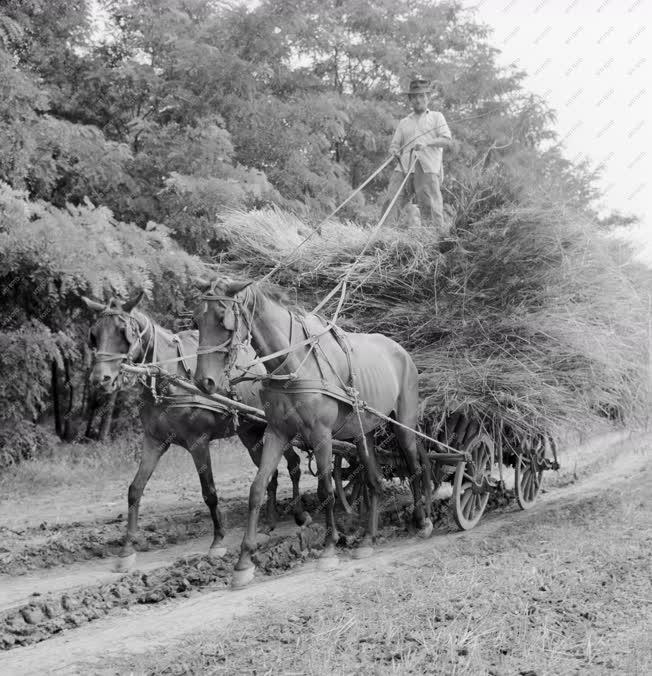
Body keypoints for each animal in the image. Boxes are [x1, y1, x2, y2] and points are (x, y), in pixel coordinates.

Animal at [83, 290, 312, 572]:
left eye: (123, 331)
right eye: (94, 334)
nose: (99, 379)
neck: (170, 379)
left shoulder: (198, 442)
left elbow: (209, 492)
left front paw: (218, 542)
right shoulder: (154, 441)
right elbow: (135, 489)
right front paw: (127, 549)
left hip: (276, 428)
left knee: (293, 465)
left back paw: (300, 515)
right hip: (251, 434)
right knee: (271, 474)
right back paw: (269, 523)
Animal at [194, 278, 432, 588]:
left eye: (224, 321)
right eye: (197, 320)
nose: (204, 382)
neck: (294, 363)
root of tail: (399, 348)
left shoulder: (321, 435)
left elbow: (326, 490)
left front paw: (329, 548)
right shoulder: (277, 433)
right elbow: (257, 488)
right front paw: (244, 562)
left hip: (404, 422)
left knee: (415, 465)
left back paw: (423, 520)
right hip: (363, 432)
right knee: (374, 480)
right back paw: (368, 539)